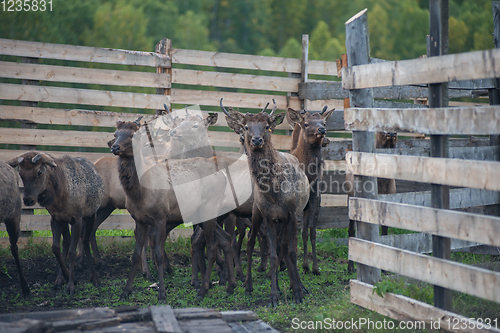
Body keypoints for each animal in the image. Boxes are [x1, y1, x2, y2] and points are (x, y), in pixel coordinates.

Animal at [222, 98, 310, 306]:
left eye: (267, 126)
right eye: (246, 126)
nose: (256, 140)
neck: (274, 192)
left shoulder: (292, 214)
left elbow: (291, 251)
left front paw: (298, 291)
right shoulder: (269, 216)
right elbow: (272, 254)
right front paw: (273, 296)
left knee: (283, 246)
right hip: (255, 213)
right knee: (249, 241)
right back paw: (247, 285)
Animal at [288, 105, 334, 274]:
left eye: (324, 122)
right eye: (306, 124)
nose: (322, 130)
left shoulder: (315, 200)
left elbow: (310, 232)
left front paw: (312, 267)